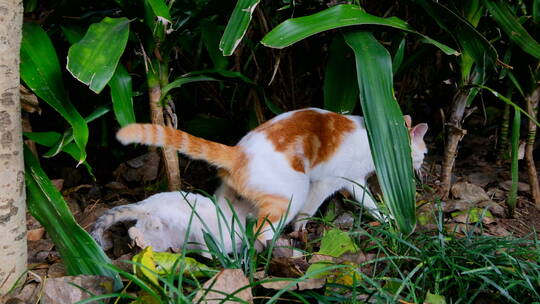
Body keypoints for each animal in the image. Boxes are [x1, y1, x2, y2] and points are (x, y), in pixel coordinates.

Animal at [117, 108, 426, 243]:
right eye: (424, 151)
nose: (422, 167)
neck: (382, 136)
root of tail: (238, 152)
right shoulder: (330, 182)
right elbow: (312, 210)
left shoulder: (353, 181)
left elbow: (368, 202)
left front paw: (387, 219)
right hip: (293, 192)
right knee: (263, 229)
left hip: (229, 197)